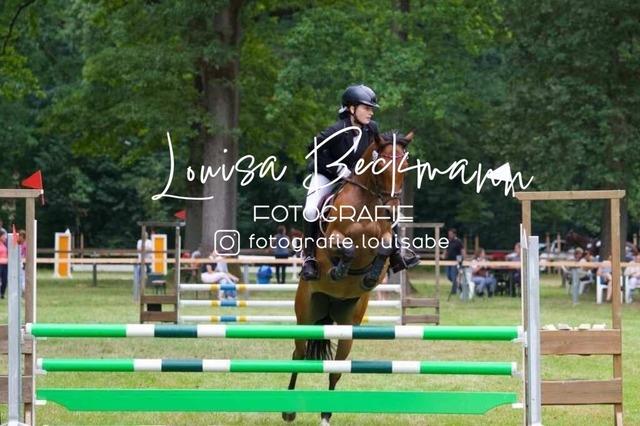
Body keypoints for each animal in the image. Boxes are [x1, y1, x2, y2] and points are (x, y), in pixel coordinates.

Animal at [282, 130, 412, 425]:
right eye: (380, 166)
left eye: (406, 168)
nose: (393, 209)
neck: (368, 202)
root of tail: (330, 303)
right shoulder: (332, 238)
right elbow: (347, 248)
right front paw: (339, 270)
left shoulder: (384, 237)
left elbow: (385, 247)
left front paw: (370, 277)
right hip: (305, 316)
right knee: (298, 355)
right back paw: (288, 411)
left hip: (347, 327)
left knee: (336, 369)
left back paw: (326, 416)